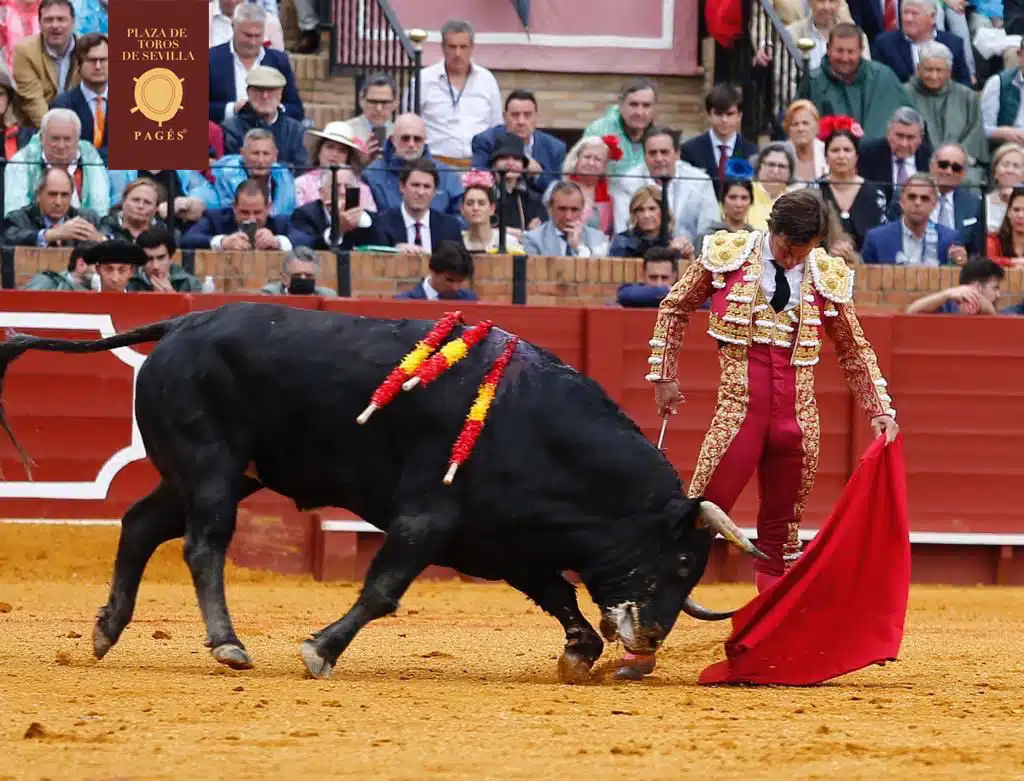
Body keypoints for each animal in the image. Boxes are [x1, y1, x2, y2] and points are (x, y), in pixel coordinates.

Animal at [0, 302, 766, 682]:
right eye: (680, 562)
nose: (651, 640)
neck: (534, 425)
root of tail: (181, 322)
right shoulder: (426, 519)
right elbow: (384, 589)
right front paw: (320, 650)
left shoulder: (501, 539)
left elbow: (558, 592)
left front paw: (578, 653)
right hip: (213, 466)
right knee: (202, 543)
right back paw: (227, 644)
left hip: (210, 472)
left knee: (138, 523)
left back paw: (105, 631)